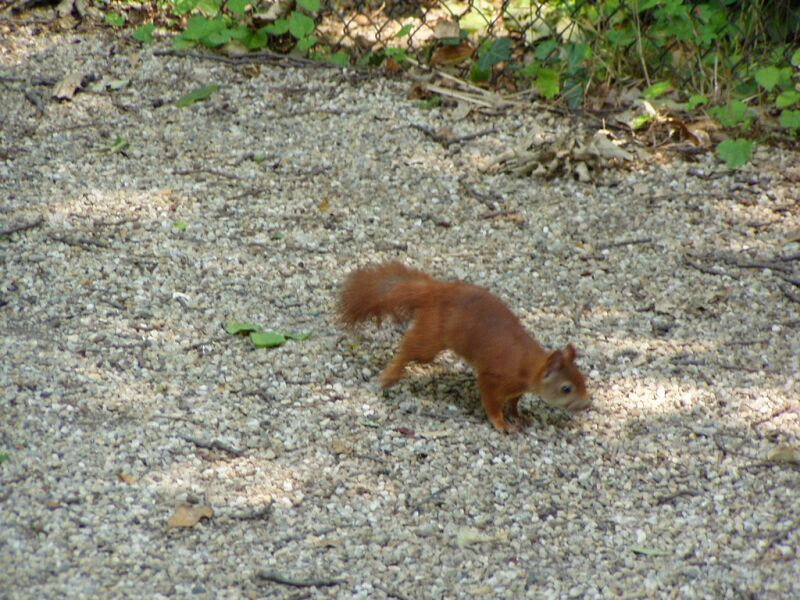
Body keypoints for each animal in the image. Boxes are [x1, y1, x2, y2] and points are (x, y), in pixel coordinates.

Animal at [334, 262, 592, 432]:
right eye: (566, 388)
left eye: (583, 379)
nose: (587, 403)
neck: (527, 363)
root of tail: (438, 291)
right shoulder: (493, 378)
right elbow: (491, 403)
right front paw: (501, 424)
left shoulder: (516, 389)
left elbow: (513, 402)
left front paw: (519, 417)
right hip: (430, 338)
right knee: (408, 349)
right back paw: (390, 375)